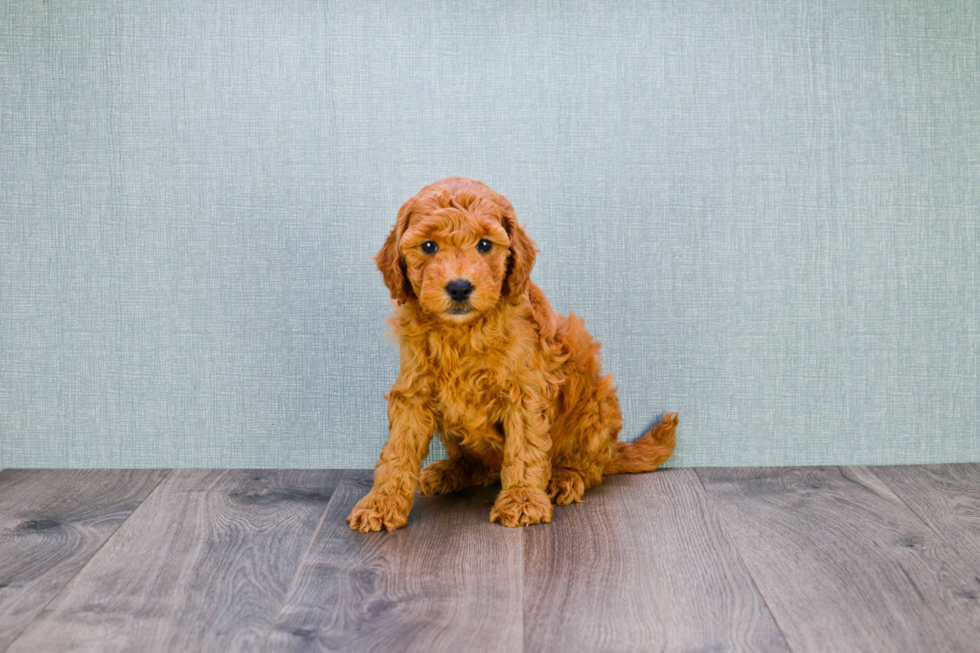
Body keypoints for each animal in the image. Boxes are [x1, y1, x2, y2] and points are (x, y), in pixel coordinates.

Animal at [348, 177, 676, 528]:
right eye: (428, 247)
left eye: (484, 245)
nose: (459, 287)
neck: (463, 331)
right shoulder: (414, 389)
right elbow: (398, 450)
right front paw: (381, 503)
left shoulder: (526, 391)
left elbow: (525, 449)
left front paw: (522, 500)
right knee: (481, 466)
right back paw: (449, 471)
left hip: (596, 404)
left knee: (588, 465)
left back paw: (565, 477)